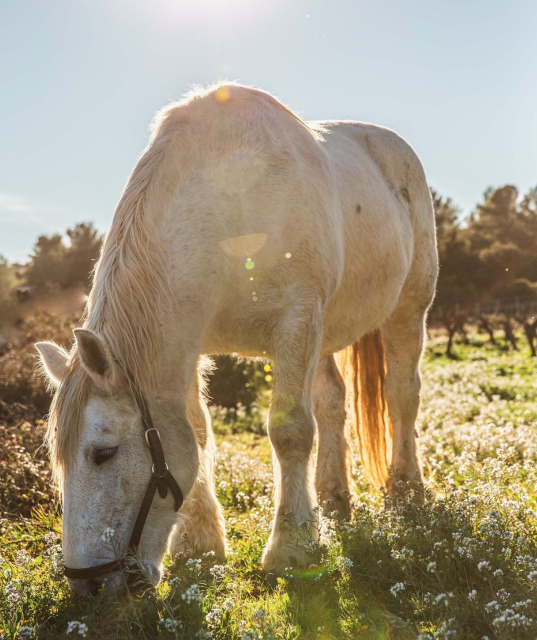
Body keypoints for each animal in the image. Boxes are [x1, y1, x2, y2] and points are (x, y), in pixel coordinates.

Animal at [35, 82, 438, 592]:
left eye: (103, 453)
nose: (86, 584)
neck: (230, 209)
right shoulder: (192, 347)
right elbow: (199, 434)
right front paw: (202, 544)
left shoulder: (296, 322)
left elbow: (289, 431)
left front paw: (292, 548)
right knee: (332, 402)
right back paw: (332, 500)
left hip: (408, 308)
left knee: (403, 393)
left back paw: (406, 491)